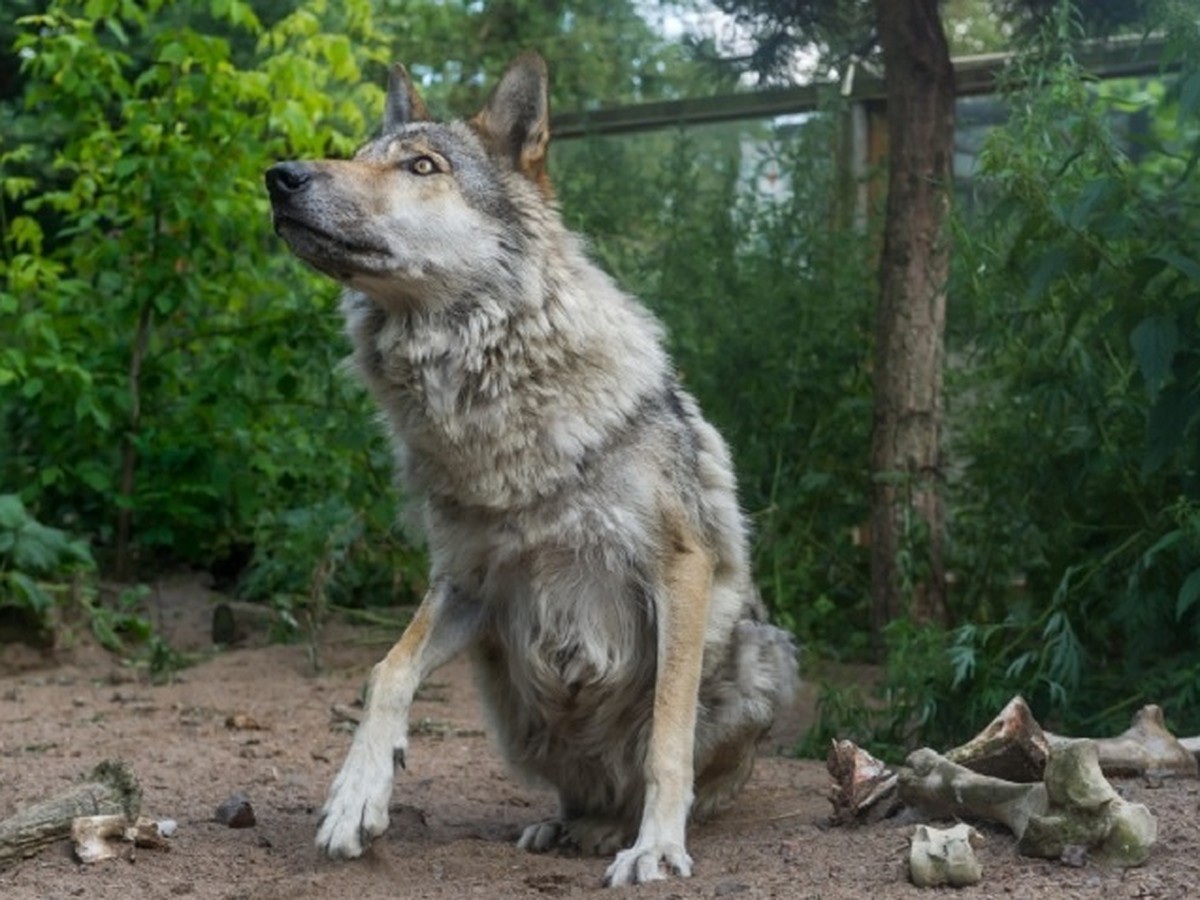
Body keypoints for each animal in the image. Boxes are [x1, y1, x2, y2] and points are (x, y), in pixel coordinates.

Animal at [267, 51, 801, 888]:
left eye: (422, 167)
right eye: (357, 157)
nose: (280, 176)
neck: (493, 403)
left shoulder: (678, 567)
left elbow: (667, 734)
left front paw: (656, 847)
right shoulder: (465, 581)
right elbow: (387, 669)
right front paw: (356, 796)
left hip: (764, 653)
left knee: (660, 769)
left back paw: (617, 829)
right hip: (510, 697)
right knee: (579, 789)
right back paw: (569, 826)